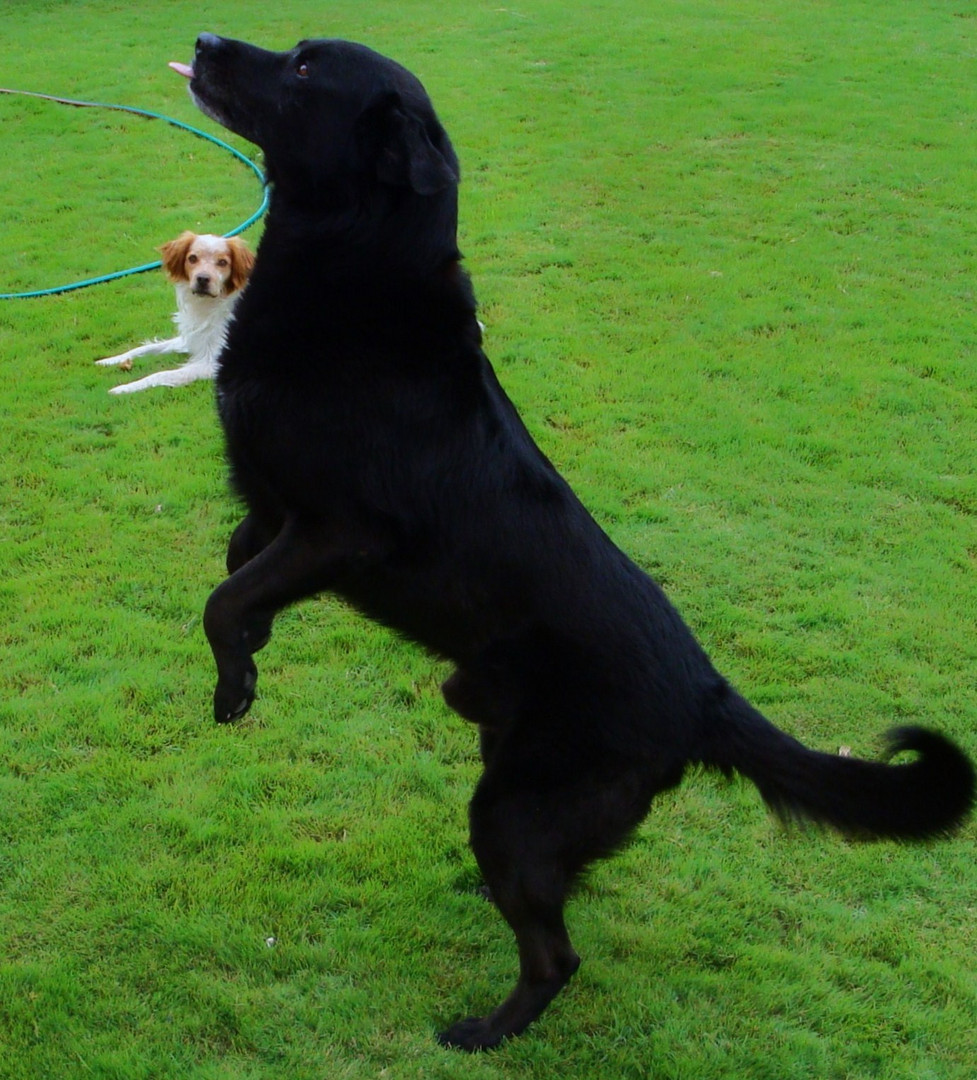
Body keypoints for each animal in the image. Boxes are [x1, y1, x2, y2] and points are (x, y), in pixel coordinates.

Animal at [95, 231, 253, 393]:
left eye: (222, 262)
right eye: (192, 258)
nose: (202, 279)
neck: (206, 306)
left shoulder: (212, 363)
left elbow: (161, 374)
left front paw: (125, 388)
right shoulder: (190, 339)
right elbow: (145, 347)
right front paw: (109, 360)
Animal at [179, 35, 971, 1054]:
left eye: (308, 70)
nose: (204, 43)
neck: (356, 273)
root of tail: (704, 694)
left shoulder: (340, 530)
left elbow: (224, 596)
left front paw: (234, 685)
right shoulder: (277, 512)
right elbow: (237, 566)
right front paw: (253, 652)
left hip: (516, 808)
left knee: (556, 954)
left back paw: (485, 1031)